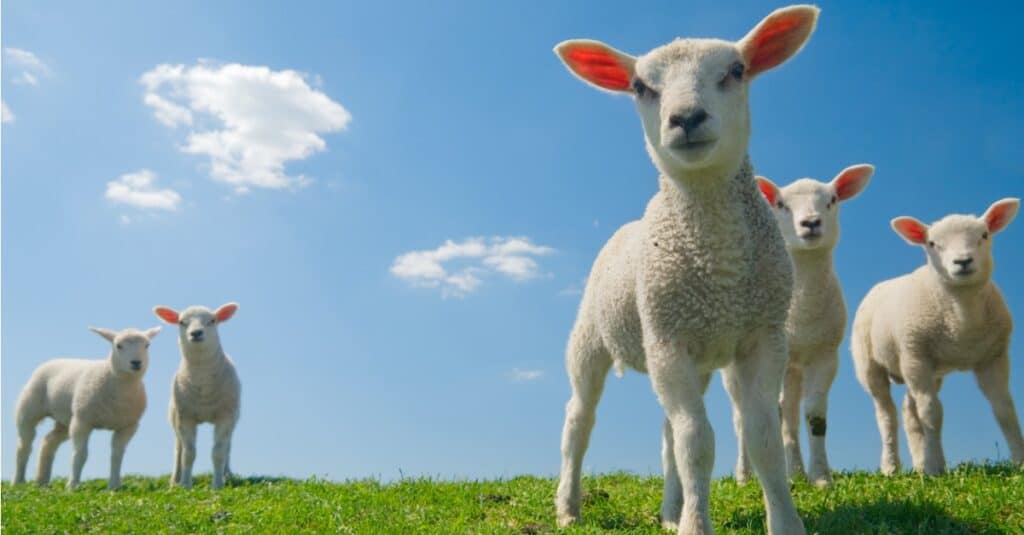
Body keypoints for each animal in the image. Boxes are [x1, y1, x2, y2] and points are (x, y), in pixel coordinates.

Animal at [12, 321, 160, 489]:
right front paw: (73, 485)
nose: (136, 363)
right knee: (24, 445)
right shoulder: (82, 422)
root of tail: (54, 359)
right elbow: (81, 454)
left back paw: (41, 481)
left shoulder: (127, 427)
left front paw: (114, 486)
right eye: (118, 345)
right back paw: (18, 481)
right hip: (29, 410)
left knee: (49, 442)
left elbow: (117, 455)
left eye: (147, 345)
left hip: (65, 420)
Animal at [153, 299, 241, 487]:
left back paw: (227, 474)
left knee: (228, 447)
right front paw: (186, 485)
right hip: (175, 418)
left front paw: (218, 485)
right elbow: (188, 453)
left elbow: (219, 452)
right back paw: (175, 480)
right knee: (178, 449)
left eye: (212, 321)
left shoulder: (225, 416)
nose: (196, 333)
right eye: (181, 322)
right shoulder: (185, 417)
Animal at [552, 5, 815, 532]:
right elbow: (697, 443)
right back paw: (569, 507)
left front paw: (783, 521)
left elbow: (762, 438)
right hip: (593, 338)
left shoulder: (763, 336)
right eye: (639, 86)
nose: (686, 118)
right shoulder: (668, 339)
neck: (720, 265)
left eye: (736, 70)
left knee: (667, 432)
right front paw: (697, 524)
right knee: (579, 421)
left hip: (691, 356)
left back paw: (670, 511)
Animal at [733, 163, 876, 485]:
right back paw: (745, 476)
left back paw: (796, 471)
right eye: (781, 205)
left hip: (794, 369)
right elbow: (769, 412)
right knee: (742, 416)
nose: (810, 223)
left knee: (789, 412)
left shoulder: (825, 356)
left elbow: (814, 415)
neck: (800, 312)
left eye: (832, 200)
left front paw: (821, 477)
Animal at [847, 197, 1024, 473]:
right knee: (887, 415)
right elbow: (931, 413)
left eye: (984, 235)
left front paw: (1020, 462)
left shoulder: (993, 357)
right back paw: (891, 467)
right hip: (871, 363)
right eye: (932, 244)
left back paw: (919, 462)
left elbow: (1004, 409)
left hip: (925, 368)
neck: (961, 320)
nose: (963, 261)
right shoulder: (916, 355)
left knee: (909, 410)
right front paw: (935, 468)